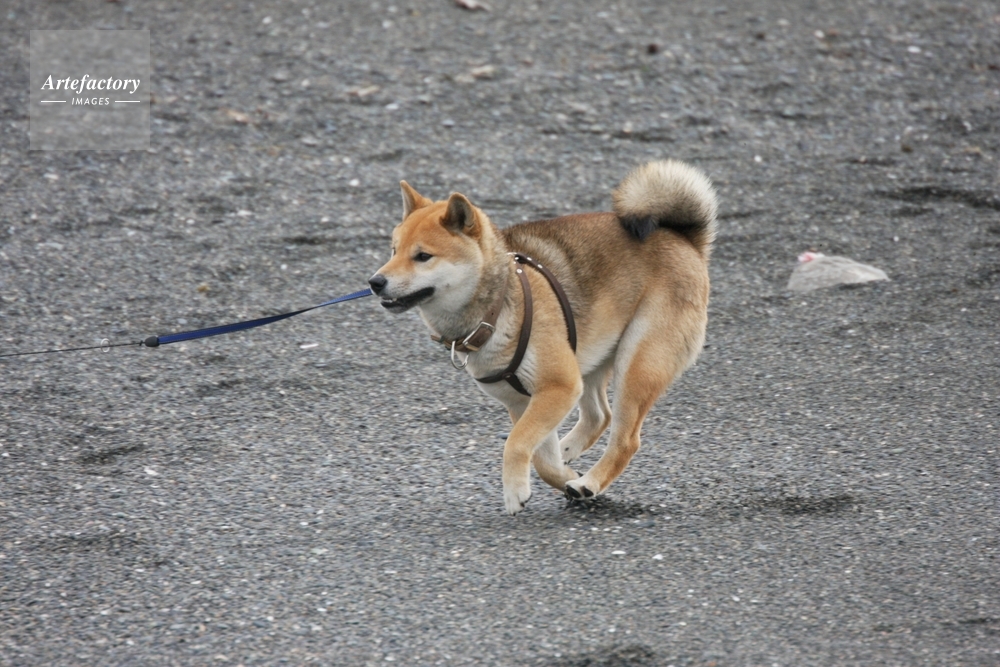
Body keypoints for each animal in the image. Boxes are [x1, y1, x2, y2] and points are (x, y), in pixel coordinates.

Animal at [369, 160, 717, 514]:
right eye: (394, 250)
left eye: (423, 256)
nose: (375, 282)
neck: (498, 307)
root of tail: (685, 240)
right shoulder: (528, 400)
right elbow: (539, 457)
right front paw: (561, 476)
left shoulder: (557, 387)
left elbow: (515, 443)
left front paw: (514, 490)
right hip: (589, 361)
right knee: (599, 416)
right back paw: (570, 456)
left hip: (635, 365)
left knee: (625, 440)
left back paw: (591, 481)